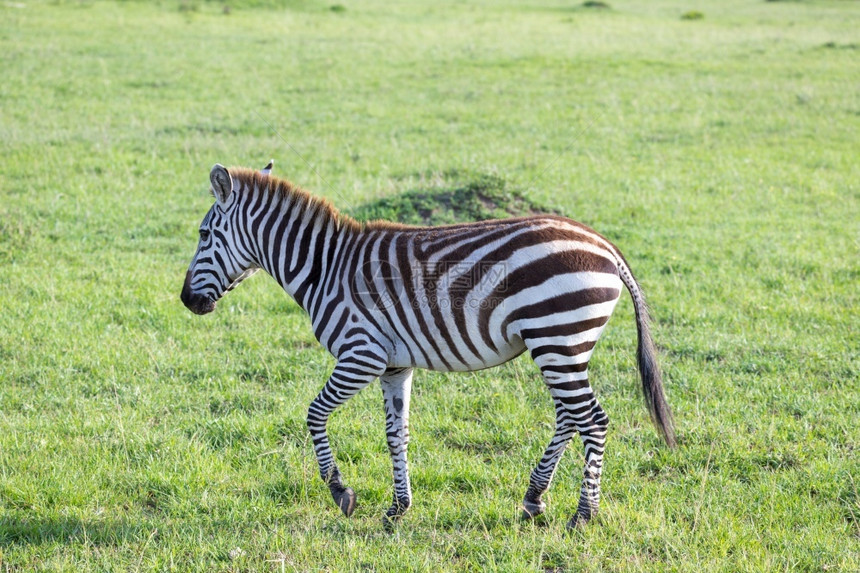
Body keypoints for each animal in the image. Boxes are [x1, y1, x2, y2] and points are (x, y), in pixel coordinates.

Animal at [181, 161, 680, 528]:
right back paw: (534, 497)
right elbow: (395, 434)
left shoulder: (361, 355)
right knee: (569, 417)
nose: (186, 301)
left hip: (557, 337)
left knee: (592, 419)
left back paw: (583, 514)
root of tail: (605, 246)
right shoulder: (393, 366)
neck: (325, 268)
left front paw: (341, 491)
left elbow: (314, 414)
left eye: (204, 235)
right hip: (562, 345)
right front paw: (398, 508)